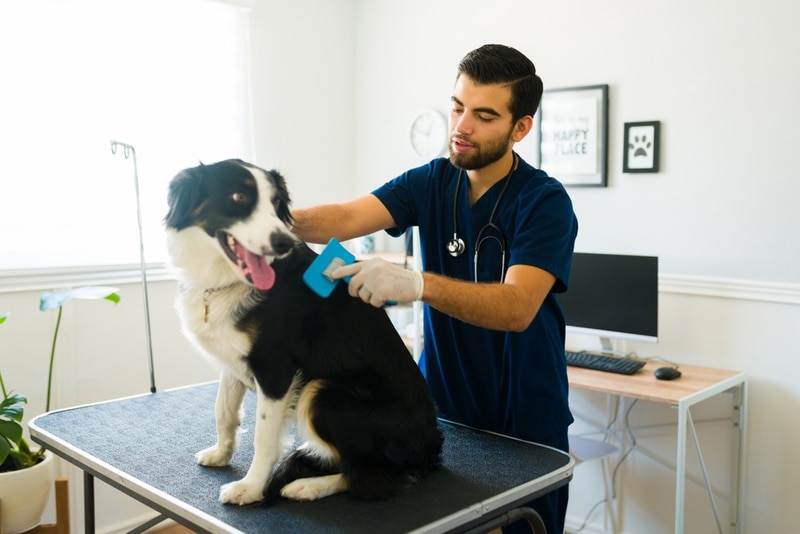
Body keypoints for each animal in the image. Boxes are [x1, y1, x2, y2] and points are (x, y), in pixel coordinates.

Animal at [163, 158, 444, 506]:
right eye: (239, 197)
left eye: (276, 204)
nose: (282, 242)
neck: (226, 277)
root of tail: (430, 445)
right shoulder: (233, 357)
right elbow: (223, 410)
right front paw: (221, 453)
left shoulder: (275, 369)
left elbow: (264, 436)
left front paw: (251, 487)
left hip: (322, 392)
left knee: (374, 477)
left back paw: (308, 486)